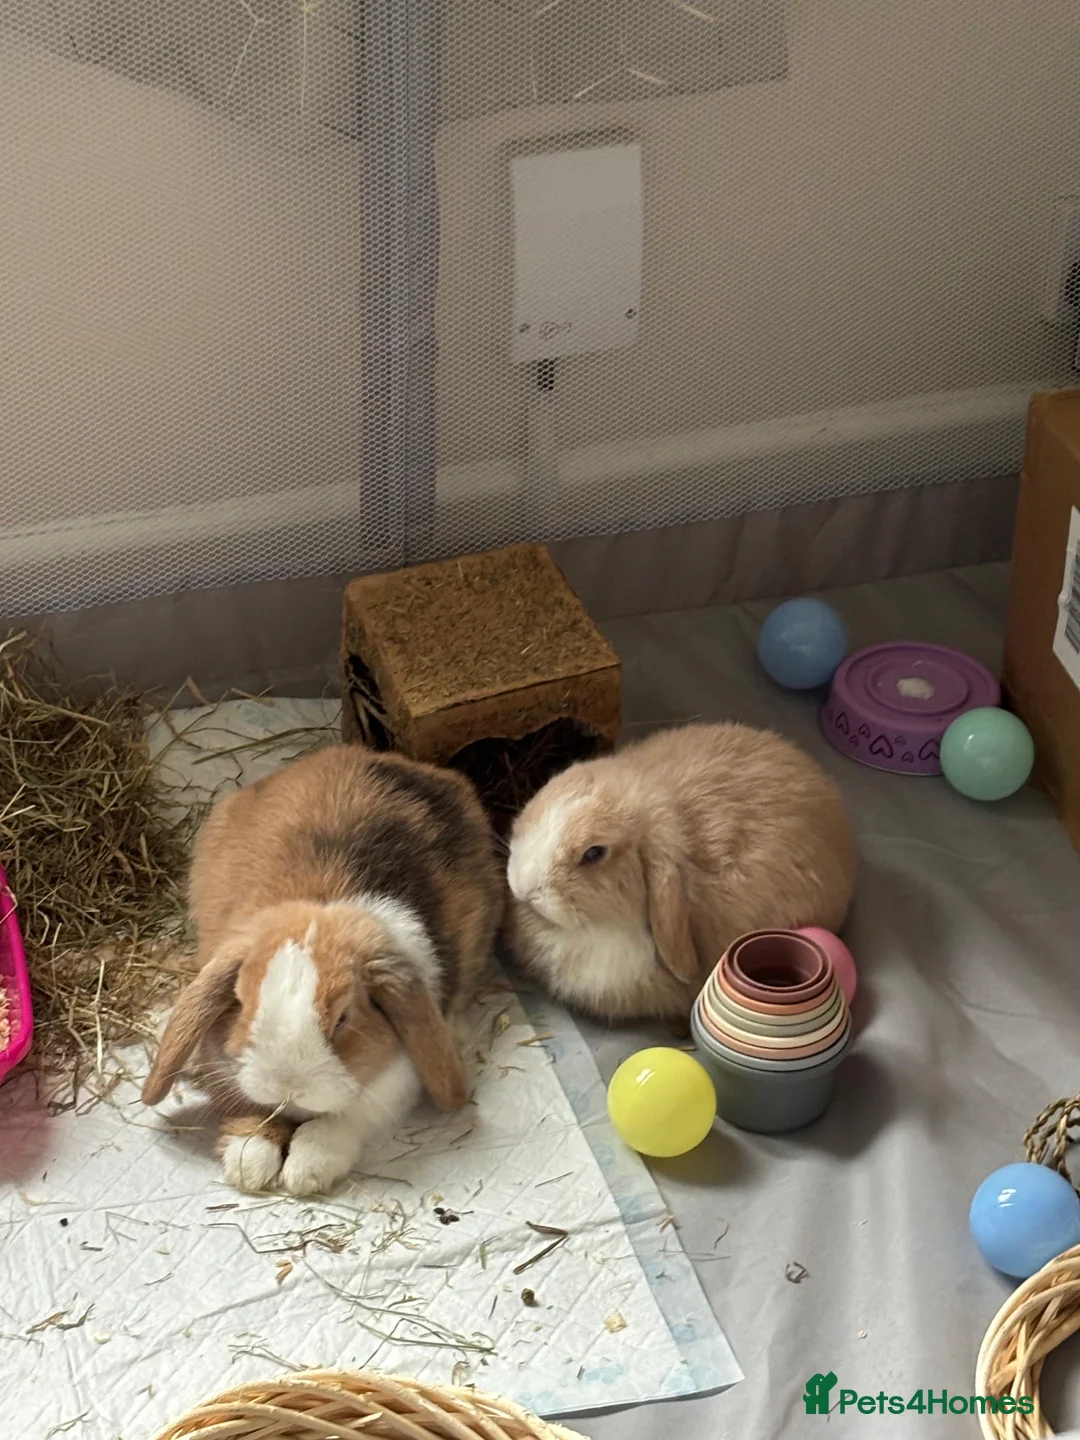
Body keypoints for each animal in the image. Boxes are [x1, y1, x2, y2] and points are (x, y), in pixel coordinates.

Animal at [141, 743, 504, 1196]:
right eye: (241, 1001)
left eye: (344, 1018)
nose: (289, 1087)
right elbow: (244, 1105)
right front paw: (249, 1161)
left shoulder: (395, 1079)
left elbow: (346, 1117)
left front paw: (306, 1170)